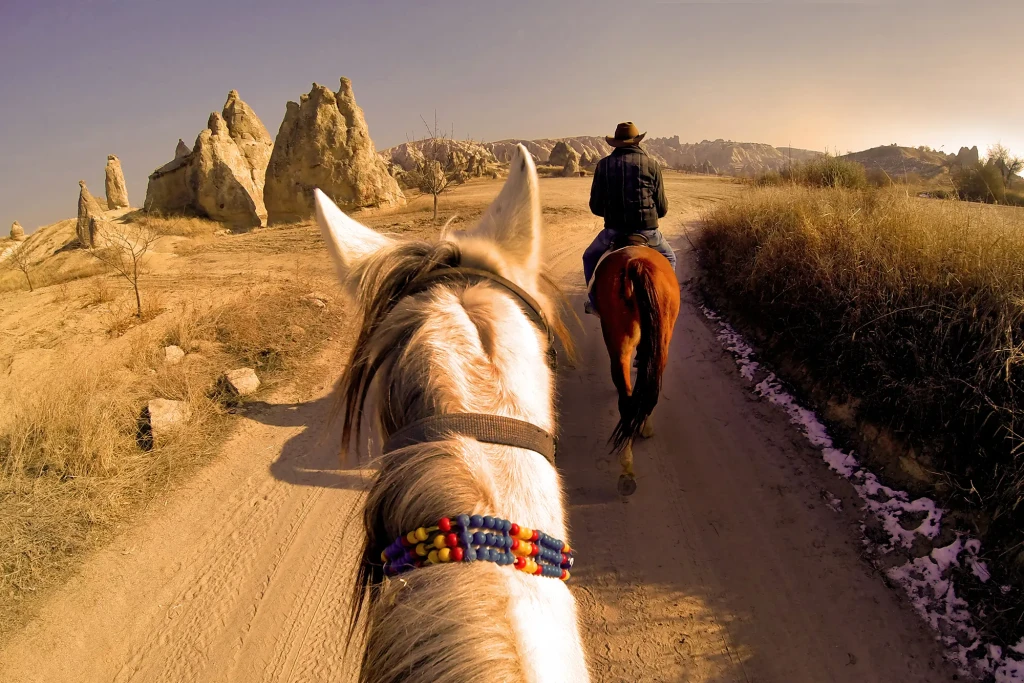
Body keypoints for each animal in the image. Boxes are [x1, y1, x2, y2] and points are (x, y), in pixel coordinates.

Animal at [589, 234, 680, 496]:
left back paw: (627, 468)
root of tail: (635, 264)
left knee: (627, 397)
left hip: (619, 341)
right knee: (648, 388)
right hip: (660, 340)